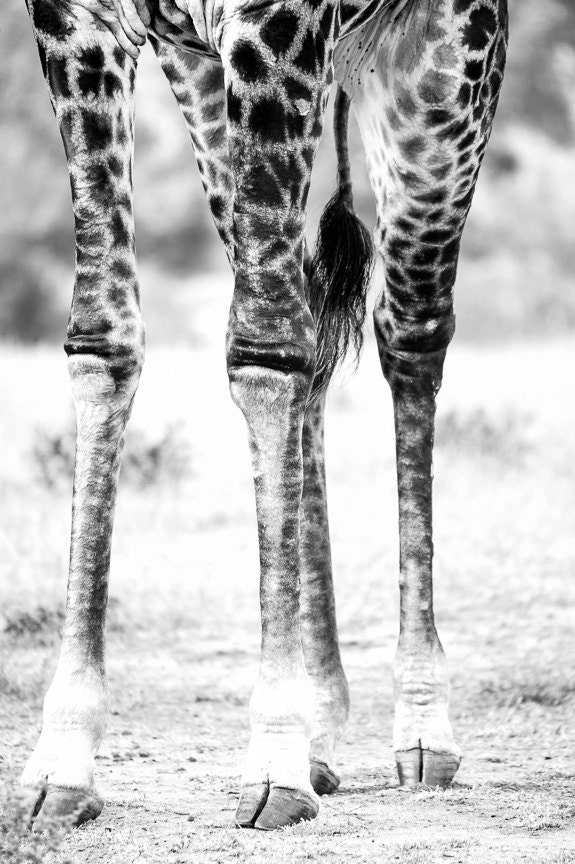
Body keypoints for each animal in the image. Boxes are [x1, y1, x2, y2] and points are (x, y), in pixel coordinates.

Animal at [21, 0, 508, 832]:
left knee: (408, 331)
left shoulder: (278, 26)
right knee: (308, 324)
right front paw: (61, 765)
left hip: (441, 74)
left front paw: (273, 762)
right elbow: (102, 338)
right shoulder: (78, 26)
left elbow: (265, 351)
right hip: (214, 82)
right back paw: (322, 725)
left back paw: (420, 730)